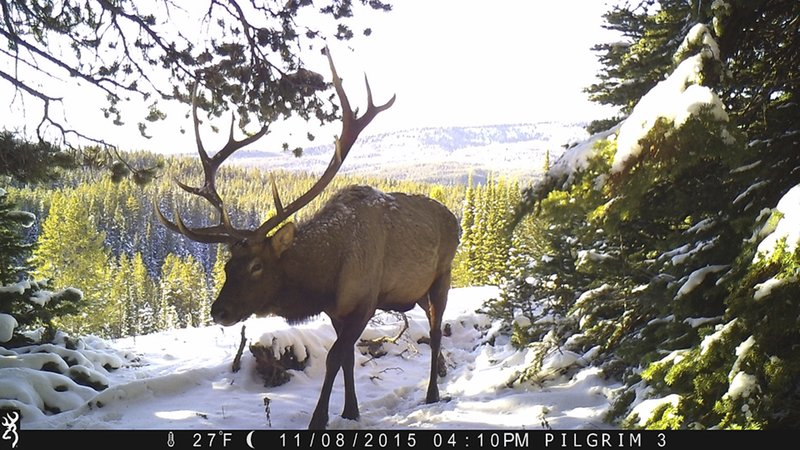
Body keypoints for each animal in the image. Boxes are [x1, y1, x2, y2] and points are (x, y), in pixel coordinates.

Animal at [155, 50, 460, 430]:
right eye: (226, 266)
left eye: (257, 266)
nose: (219, 310)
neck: (324, 279)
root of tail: (455, 219)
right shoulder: (336, 310)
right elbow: (346, 358)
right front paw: (350, 411)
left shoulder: (366, 301)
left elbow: (334, 357)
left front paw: (319, 419)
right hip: (414, 291)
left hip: (442, 276)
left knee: (435, 331)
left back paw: (433, 392)